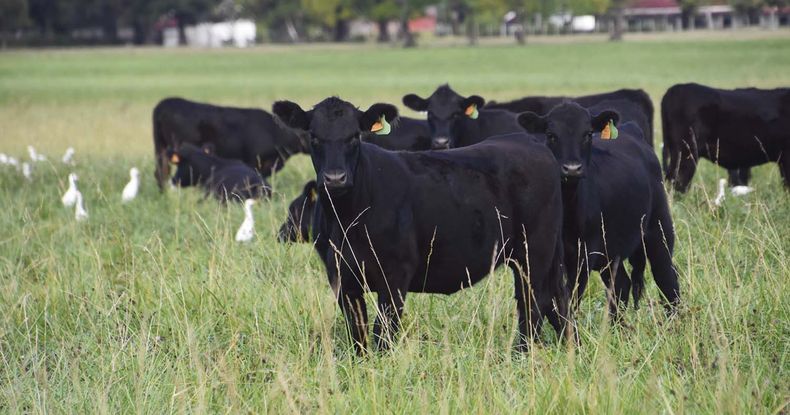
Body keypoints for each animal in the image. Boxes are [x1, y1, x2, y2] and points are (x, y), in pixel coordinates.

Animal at [273, 97, 570, 355]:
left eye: (355, 136)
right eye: (314, 136)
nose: (335, 178)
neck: (348, 220)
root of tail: (528, 141)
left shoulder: (395, 276)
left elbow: (384, 333)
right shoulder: (342, 278)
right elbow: (359, 335)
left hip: (534, 253)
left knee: (533, 303)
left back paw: (522, 353)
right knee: (554, 301)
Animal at [517, 102, 680, 319]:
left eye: (587, 134)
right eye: (551, 135)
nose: (572, 169)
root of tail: (632, 130)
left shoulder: (583, 257)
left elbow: (570, 299)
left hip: (659, 229)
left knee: (667, 278)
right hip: (611, 252)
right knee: (621, 285)